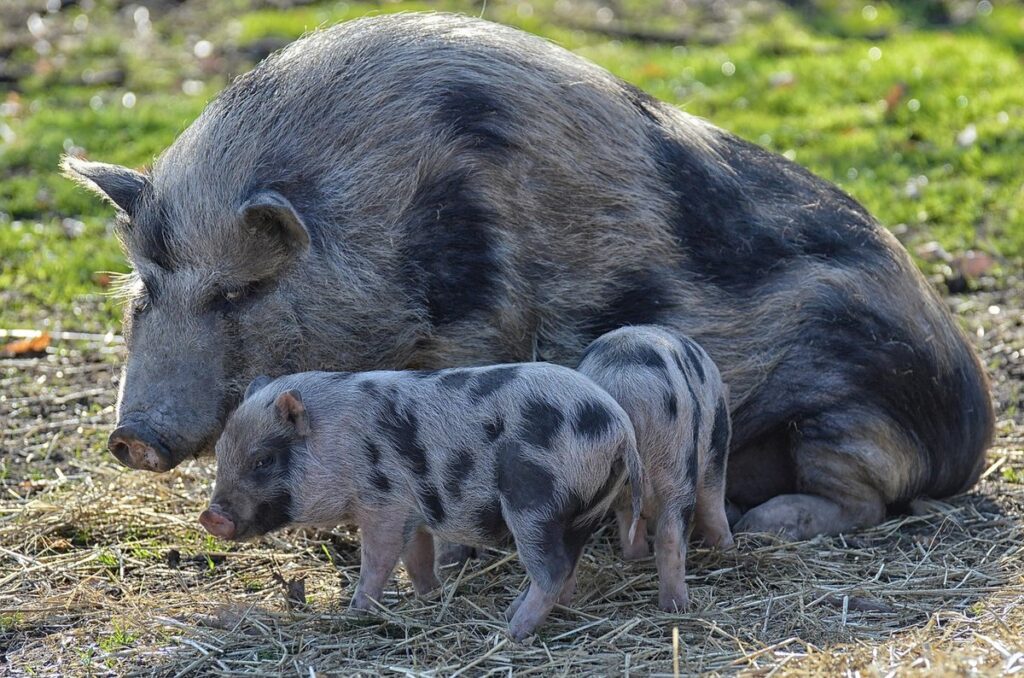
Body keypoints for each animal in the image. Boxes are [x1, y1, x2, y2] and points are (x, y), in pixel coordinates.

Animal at [62, 13, 992, 542]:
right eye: (146, 290)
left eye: (237, 292)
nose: (130, 435)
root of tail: (975, 434)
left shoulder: (477, 330)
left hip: (856, 412)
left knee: (866, 496)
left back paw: (769, 526)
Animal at [198, 364, 644, 641]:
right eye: (220, 452)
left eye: (263, 460)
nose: (210, 515)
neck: (337, 442)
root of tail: (621, 430)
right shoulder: (412, 510)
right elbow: (416, 558)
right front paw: (428, 596)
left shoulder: (383, 505)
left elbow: (378, 560)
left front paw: (355, 612)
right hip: (583, 509)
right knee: (568, 565)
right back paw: (516, 614)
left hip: (534, 501)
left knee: (551, 570)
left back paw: (510, 632)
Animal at [577, 325, 732, 610]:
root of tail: (623, 384)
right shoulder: (717, 445)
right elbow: (713, 500)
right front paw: (727, 547)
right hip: (678, 462)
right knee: (671, 533)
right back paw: (677, 605)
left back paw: (636, 559)